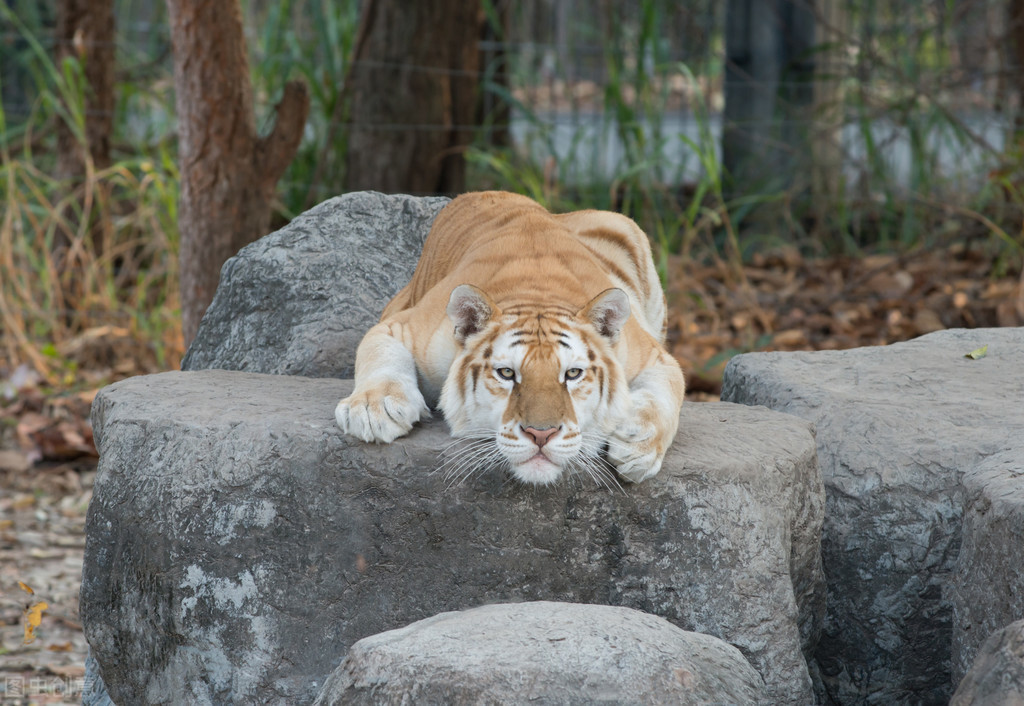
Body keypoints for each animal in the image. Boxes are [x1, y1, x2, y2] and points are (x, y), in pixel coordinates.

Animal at [335, 191, 686, 485]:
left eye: (573, 374)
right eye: (506, 373)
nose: (541, 434)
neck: (537, 292)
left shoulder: (654, 356)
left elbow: (667, 393)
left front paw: (638, 446)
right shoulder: (400, 325)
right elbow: (379, 353)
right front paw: (374, 410)